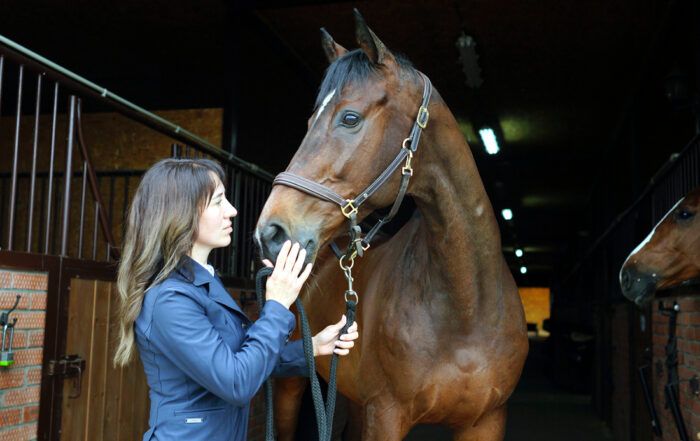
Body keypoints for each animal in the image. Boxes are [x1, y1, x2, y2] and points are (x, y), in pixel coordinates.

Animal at [255, 11, 528, 441]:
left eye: (350, 118)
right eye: (311, 119)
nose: (271, 232)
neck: (466, 310)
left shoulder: (486, 420)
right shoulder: (384, 414)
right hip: (290, 385)